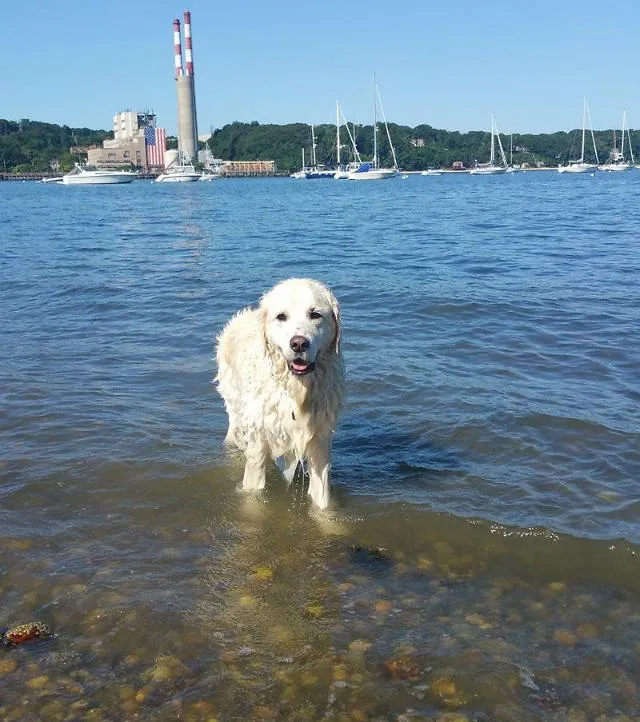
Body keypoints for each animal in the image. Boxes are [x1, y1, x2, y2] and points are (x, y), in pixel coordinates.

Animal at [215, 276, 344, 506]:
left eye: (315, 314)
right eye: (281, 316)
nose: (299, 343)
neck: (296, 389)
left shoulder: (319, 441)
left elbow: (321, 499)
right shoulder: (257, 443)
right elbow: (253, 491)